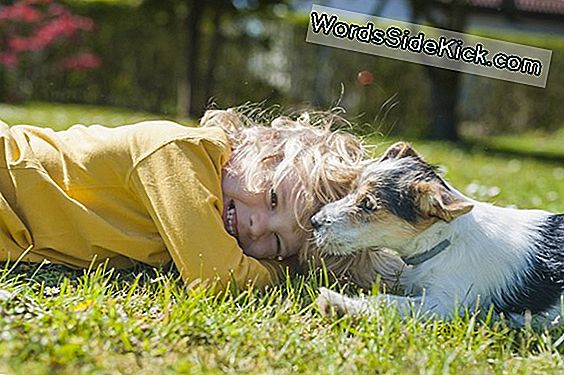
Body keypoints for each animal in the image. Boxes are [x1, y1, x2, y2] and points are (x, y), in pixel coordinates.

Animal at [312, 142, 564, 328]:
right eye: (352, 189)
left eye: (368, 204)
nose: (314, 221)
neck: (446, 240)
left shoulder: (445, 303)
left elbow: (387, 301)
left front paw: (338, 303)